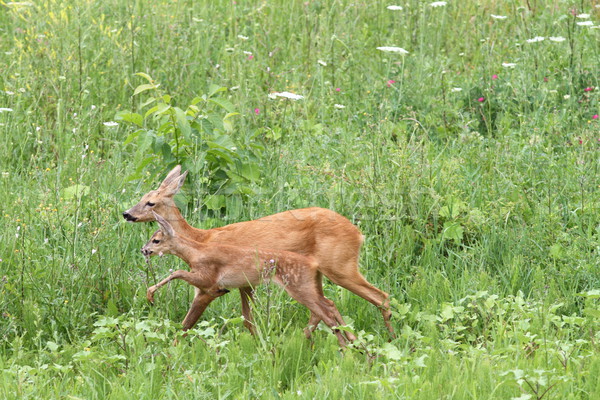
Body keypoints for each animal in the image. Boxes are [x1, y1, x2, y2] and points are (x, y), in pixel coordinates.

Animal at [142, 212, 354, 346]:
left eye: (156, 240)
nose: (144, 250)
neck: (195, 253)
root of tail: (313, 264)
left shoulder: (208, 279)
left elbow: (177, 272)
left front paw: (150, 294)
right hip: (309, 286)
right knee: (329, 305)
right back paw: (353, 344)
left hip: (299, 286)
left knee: (326, 314)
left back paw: (346, 349)